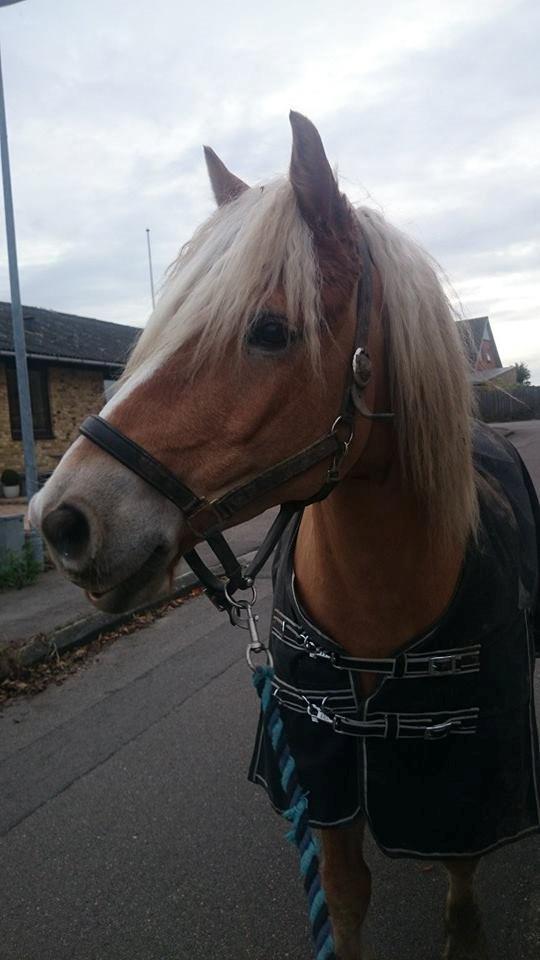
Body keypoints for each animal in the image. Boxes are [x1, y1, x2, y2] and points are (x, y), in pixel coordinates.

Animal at [30, 112, 540, 960]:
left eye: (270, 330)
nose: (61, 520)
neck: (378, 602)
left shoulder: (462, 796)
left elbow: (460, 895)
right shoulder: (319, 780)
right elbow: (344, 895)